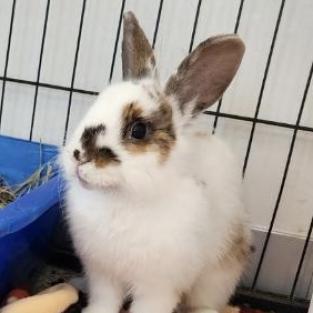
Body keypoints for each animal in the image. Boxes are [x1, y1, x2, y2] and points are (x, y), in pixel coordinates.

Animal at [61, 11, 251, 312]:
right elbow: (105, 300)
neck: (122, 198)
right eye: (95, 104)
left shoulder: (158, 286)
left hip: (219, 273)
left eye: (138, 130)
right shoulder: (102, 274)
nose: (79, 156)